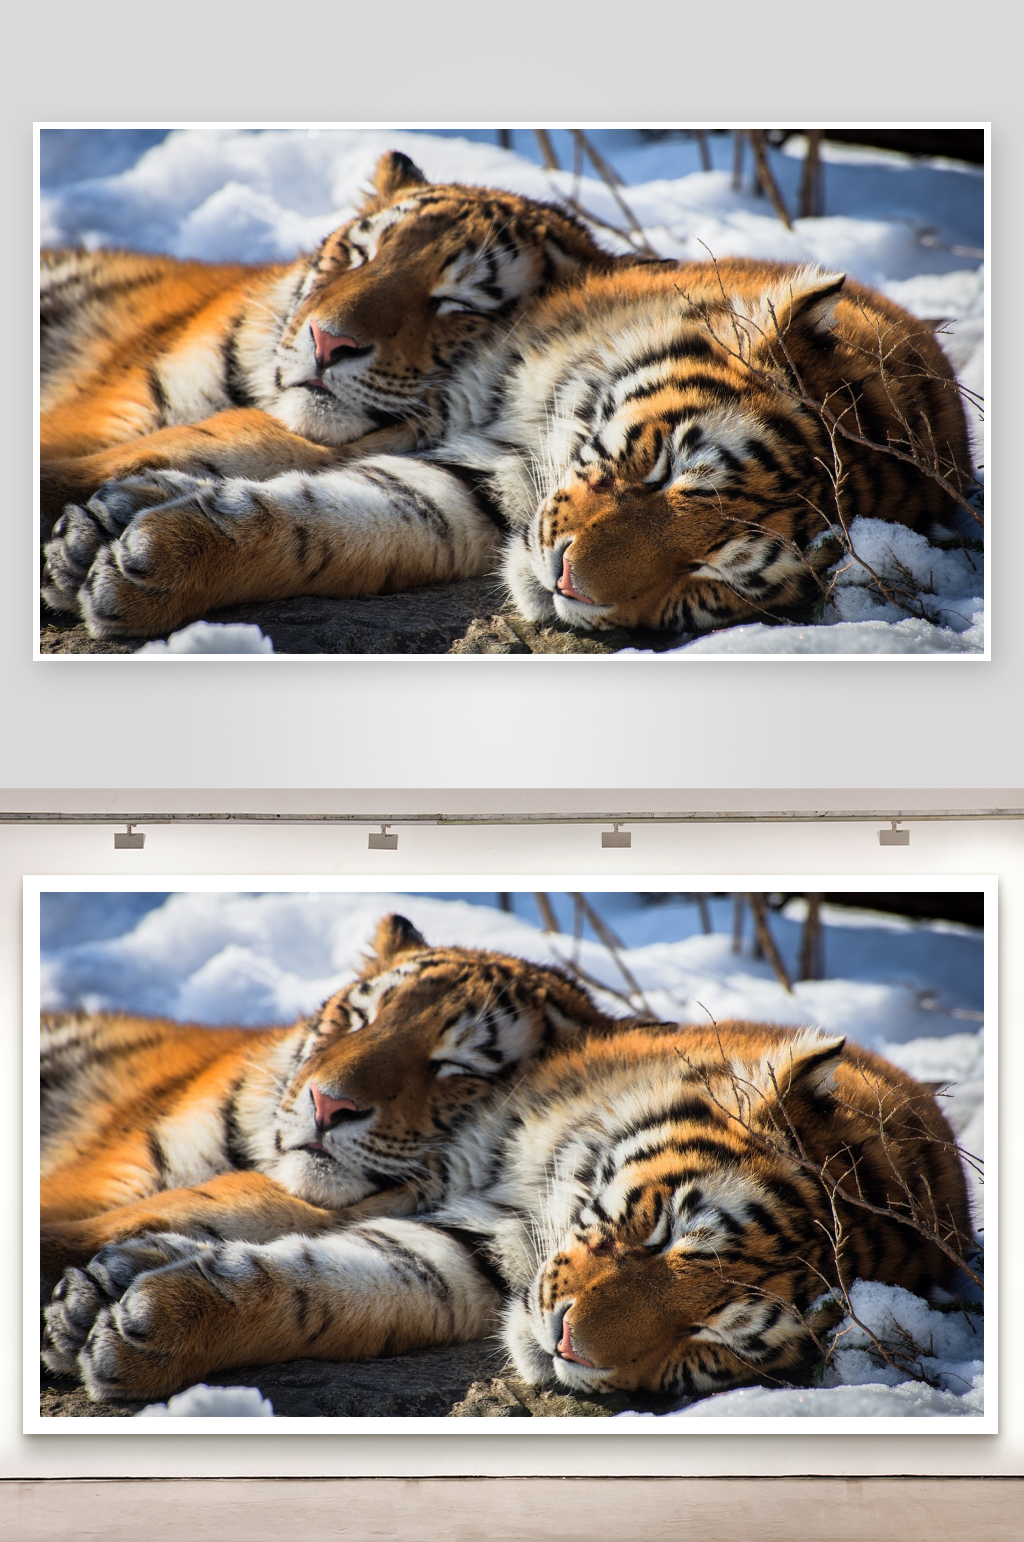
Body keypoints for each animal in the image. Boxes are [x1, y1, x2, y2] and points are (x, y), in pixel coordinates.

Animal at [42, 245, 974, 643]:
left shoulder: (465, 494)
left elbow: (320, 525)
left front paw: (143, 566)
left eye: (713, 582)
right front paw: (96, 519)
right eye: (665, 468)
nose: (566, 580)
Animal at [42, 920, 972, 1409]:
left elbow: (315, 1289)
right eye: (664, 1231)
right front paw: (96, 1282)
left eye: (714, 1345)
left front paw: (144, 1328)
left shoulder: (463, 1254)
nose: (567, 1345)